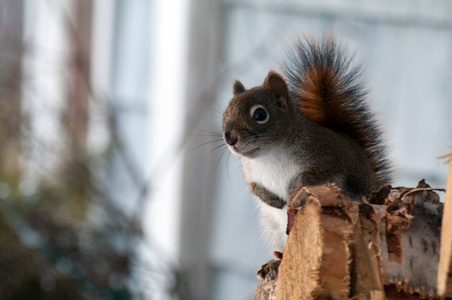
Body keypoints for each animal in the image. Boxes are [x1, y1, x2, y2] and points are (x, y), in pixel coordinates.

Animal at [221, 36, 390, 280]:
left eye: (260, 114)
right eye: (225, 114)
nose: (229, 138)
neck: (269, 154)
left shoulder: (328, 157)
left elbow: (313, 176)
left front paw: (293, 192)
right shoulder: (251, 173)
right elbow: (254, 188)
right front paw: (273, 199)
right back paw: (275, 263)